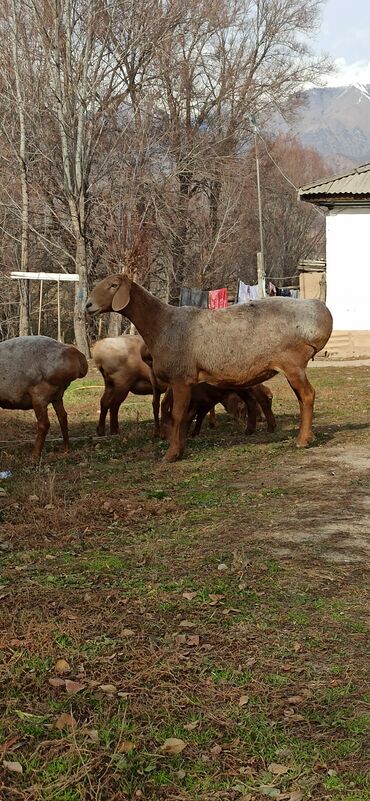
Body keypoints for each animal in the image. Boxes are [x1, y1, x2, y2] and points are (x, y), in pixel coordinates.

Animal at [86, 276, 332, 462]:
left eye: (113, 285)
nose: (88, 305)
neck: (161, 324)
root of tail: (320, 312)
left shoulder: (181, 377)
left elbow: (177, 414)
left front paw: (172, 454)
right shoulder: (179, 381)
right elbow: (178, 413)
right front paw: (180, 446)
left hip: (292, 362)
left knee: (307, 395)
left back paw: (302, 440)